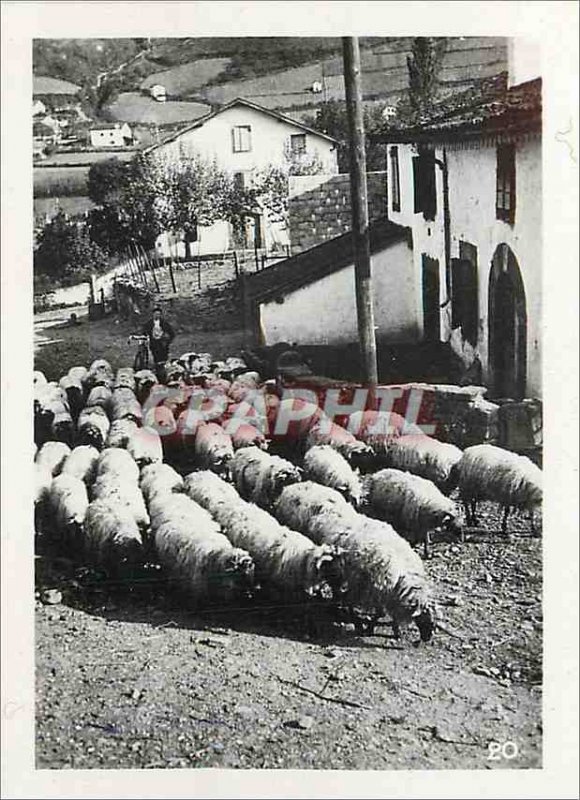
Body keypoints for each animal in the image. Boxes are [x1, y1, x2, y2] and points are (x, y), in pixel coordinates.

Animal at [276, 482, 436, 644]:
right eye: (424, 616)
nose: (427, 638)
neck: (401, 575)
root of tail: (293, 486)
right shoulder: (371, 588)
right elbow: (377, 612)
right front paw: (368, 627)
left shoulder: (381, 591)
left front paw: (395, 630)